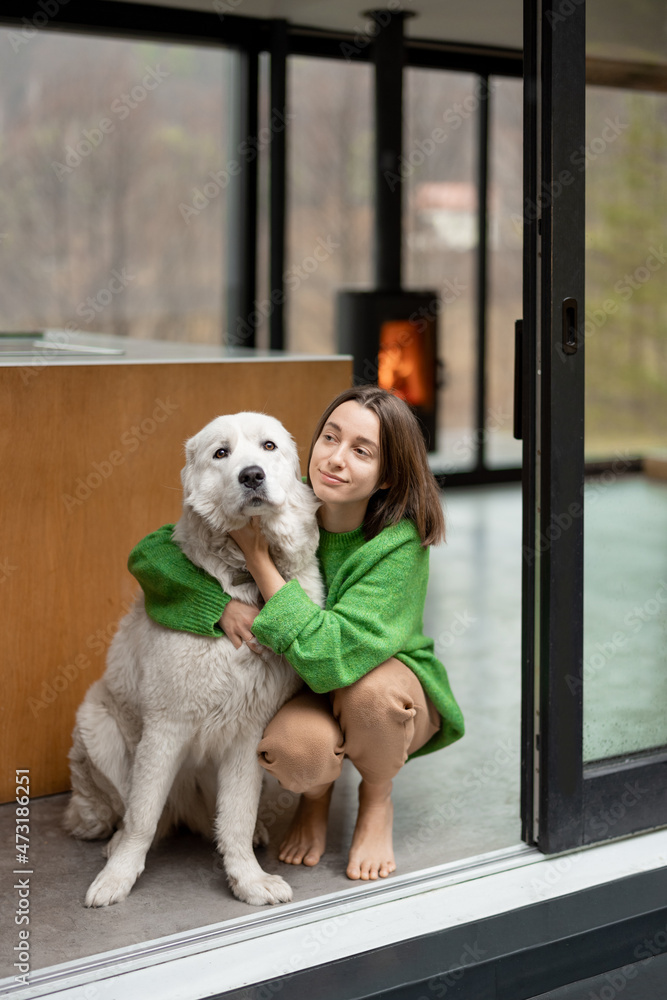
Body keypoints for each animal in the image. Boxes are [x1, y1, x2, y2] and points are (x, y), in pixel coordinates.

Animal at [64, 410, 324, 912]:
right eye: (221, 453)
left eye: (268, 446)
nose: (251, 476)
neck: (243, 577)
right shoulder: (166, 726)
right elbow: (142, 816)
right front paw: (117, 878)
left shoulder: (248, 734)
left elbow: (237, 817)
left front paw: (248, 881)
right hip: (97, 724)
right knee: (126, 809)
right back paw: (111, 839)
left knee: (218, 820)